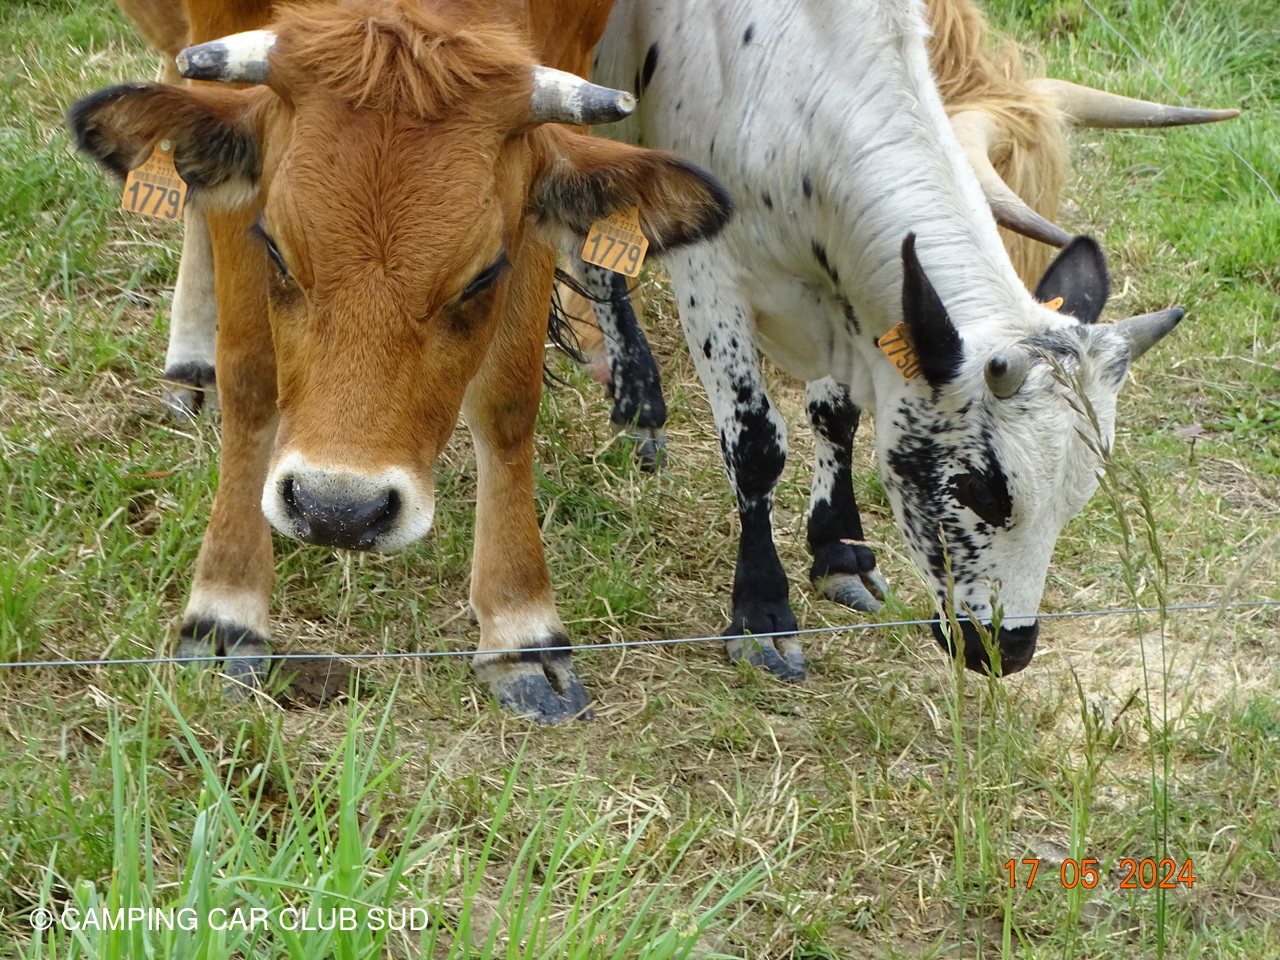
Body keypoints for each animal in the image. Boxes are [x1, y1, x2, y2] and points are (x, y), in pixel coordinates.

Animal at [70, 0, 733, 723]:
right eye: (276, 249)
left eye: (481, 277)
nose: (339, 510)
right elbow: (251, 374)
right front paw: (226, 609)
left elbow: (507, 399)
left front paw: (521, 627)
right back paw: (191, 361)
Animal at [581, 0, 1233, 679]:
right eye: (979, 489)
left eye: (1078, 495)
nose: (1007, 650)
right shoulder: (711, 276)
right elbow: (755, 445)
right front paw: (762, 612)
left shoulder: (845, 300)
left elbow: (836, 416)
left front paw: (839, 549)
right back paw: (638, 400)